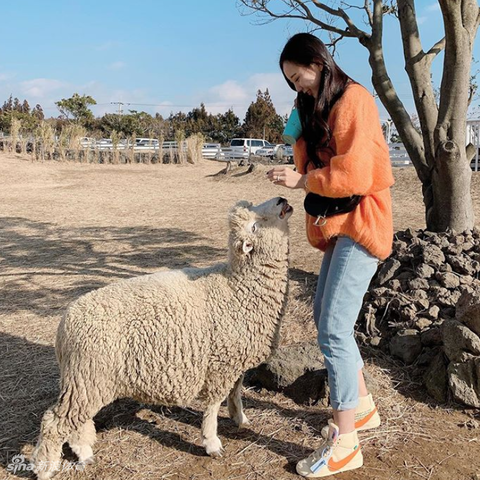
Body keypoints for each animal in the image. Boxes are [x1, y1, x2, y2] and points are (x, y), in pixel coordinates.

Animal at [31, 196, 292, 480]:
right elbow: (213, 405)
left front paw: (240, 419)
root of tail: (64, 326)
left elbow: (236, 392)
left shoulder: (235, 358)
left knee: (74, 422)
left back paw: (84, 453)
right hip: (87, 377)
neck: (237, 286)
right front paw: (211, 442)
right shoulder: (220, 365)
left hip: (85, 381)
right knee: (54, 422)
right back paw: (45, 468)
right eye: (255, 225)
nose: (282, 200)